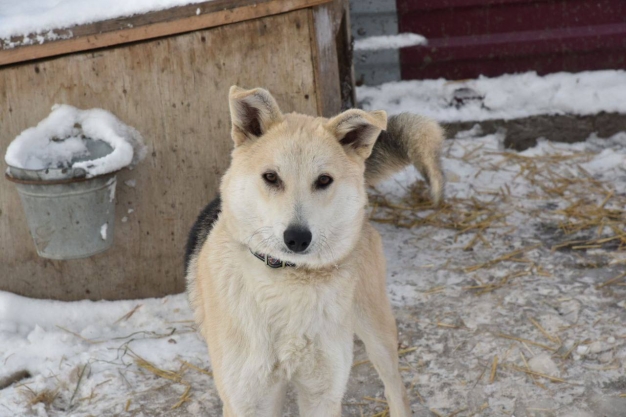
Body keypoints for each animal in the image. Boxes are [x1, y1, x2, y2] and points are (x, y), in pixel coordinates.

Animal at [184, 86, 444, 414]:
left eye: (323, 180)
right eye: (271, 177)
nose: (296, 238)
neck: (286, 283)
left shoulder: (322, 394)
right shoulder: (247, 400)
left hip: (376, 330)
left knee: (395, 388)